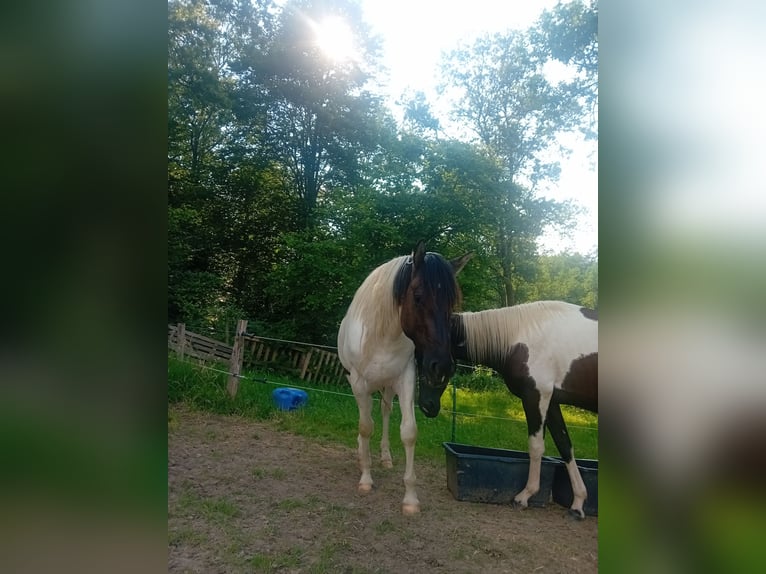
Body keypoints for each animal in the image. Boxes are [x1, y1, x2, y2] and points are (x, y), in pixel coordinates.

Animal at [340, 241, 472, 516]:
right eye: (418, 296)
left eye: (452, 303)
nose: (441, 365)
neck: (382, 336)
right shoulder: (359, 384)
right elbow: (365, 426)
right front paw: (366, 479)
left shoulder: (406, 381)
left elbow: (409, 432)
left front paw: (410, 499)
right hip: (359, 385)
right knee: (366, 418)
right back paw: (362, 455)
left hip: (388, 387)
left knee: (385, 411)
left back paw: (385, 457)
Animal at [420, 302, 600, 520]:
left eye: (433, 364)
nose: (426, 406)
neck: (519, 336)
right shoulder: (551, 401)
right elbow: (564, 446)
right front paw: (578, 504)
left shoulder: (535, 396)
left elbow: (536, 446)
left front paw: (524, 496)